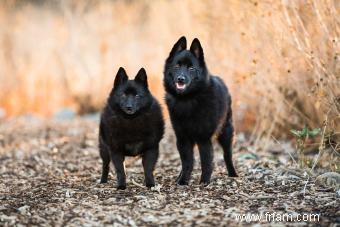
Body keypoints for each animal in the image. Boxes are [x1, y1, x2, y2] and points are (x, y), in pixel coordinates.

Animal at [163, 35, 238, 184]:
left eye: (191, 68)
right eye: (177, 66)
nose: (181, 79)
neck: (187, 100)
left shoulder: (203, 139)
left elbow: (206, 161)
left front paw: (204, 181)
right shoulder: (183, 138)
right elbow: (187, 162)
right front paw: (183, 180)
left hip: (226, 132)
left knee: (228, 155)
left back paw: (233, 174)